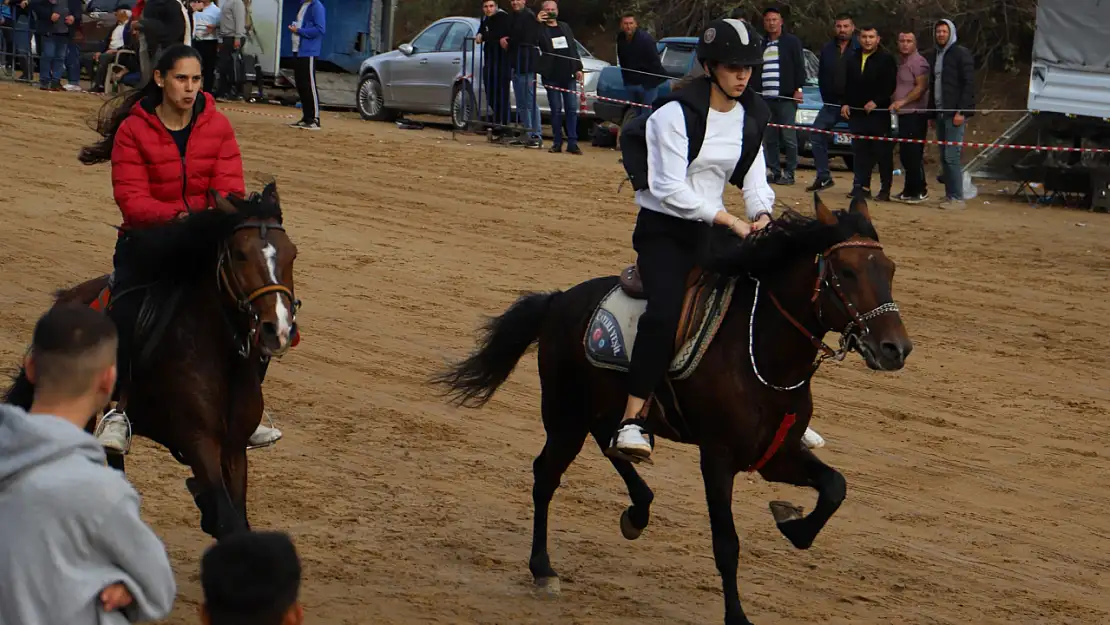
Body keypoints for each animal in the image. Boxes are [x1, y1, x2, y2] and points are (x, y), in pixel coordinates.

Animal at [3, 183, 299, 539]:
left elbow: (235, 519)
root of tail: (66, 299)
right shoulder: (199, 440)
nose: (278, 328)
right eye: (240, 254)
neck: (221, 360)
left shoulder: (234, 448)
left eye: (292, 253)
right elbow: (228, 522)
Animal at [432, 195, 910, 625]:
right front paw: (738, 616)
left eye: (888, 269)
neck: (759, 351)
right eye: (846, 272)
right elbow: (726, 543)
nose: (897, 349)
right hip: (563, 414)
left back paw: (637, 510)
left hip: (600, 410)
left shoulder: (776, 453)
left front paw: (791, 523)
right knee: (546, 474)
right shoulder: (717, 458)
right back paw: (543, 568)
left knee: (610, 445)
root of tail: (559, 299)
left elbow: (834, 487)